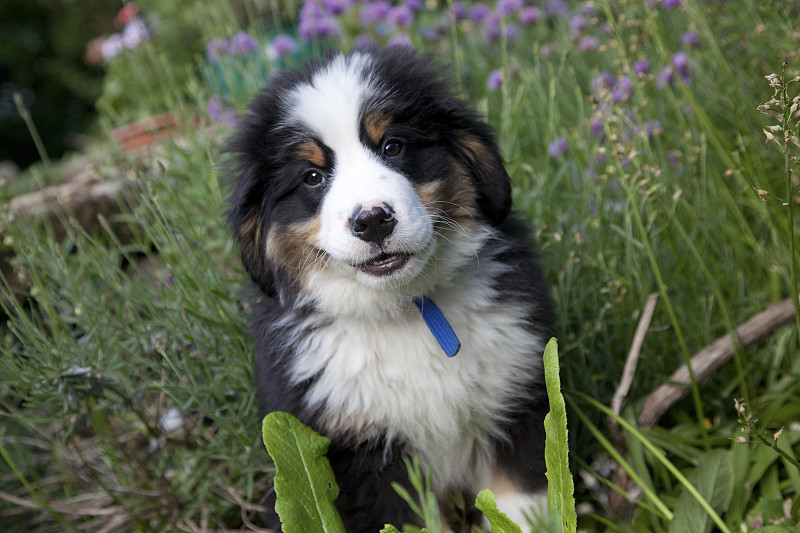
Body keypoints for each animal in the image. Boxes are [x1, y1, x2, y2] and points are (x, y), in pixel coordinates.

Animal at [222, 46, 552, 532]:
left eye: (392, 146)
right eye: (312, 176)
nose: (373, 220)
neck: (405, 311)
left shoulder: (516, 401)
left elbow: (521, 505)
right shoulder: (358, 454)